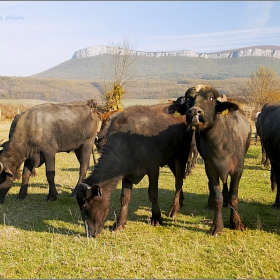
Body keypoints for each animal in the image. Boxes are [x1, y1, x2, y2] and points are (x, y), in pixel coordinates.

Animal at [73, 103, 194, 236]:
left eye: (85, 208)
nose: (90, 233)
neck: (129, 141)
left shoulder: (153, 168)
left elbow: (153, 194)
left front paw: (156, 218)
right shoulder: (127, 174)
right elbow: (124, 198)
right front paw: (119, 223)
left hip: (181, 156)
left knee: (178, 182)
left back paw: (174, 209)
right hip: (171, 159)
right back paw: (180, 201)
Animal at [185, 84, 253, 235]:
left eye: (210, 98)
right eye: (189, 99)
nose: (194, 112)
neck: (220, 143)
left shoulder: (238, 170)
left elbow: (234, 197)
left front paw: (236, 222)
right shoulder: (211, 169)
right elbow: (217, 198)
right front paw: (217, 226)